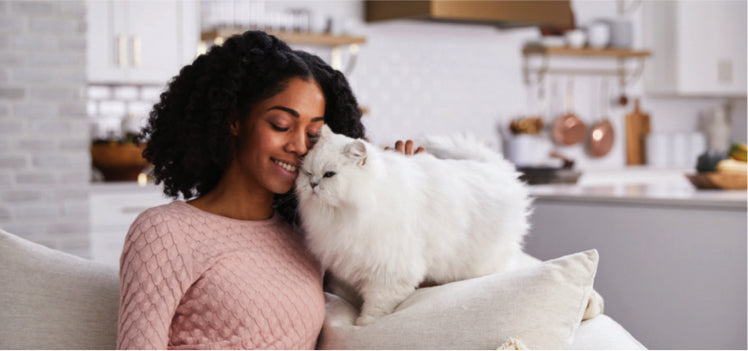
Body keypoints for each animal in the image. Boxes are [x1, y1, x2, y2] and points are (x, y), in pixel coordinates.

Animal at [294, 125, 532, 326]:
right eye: (307, 172)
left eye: (329, 175)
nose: (312, 184)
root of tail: (500, 169)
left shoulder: (390, 272)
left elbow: (376, 305)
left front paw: (364, 322)